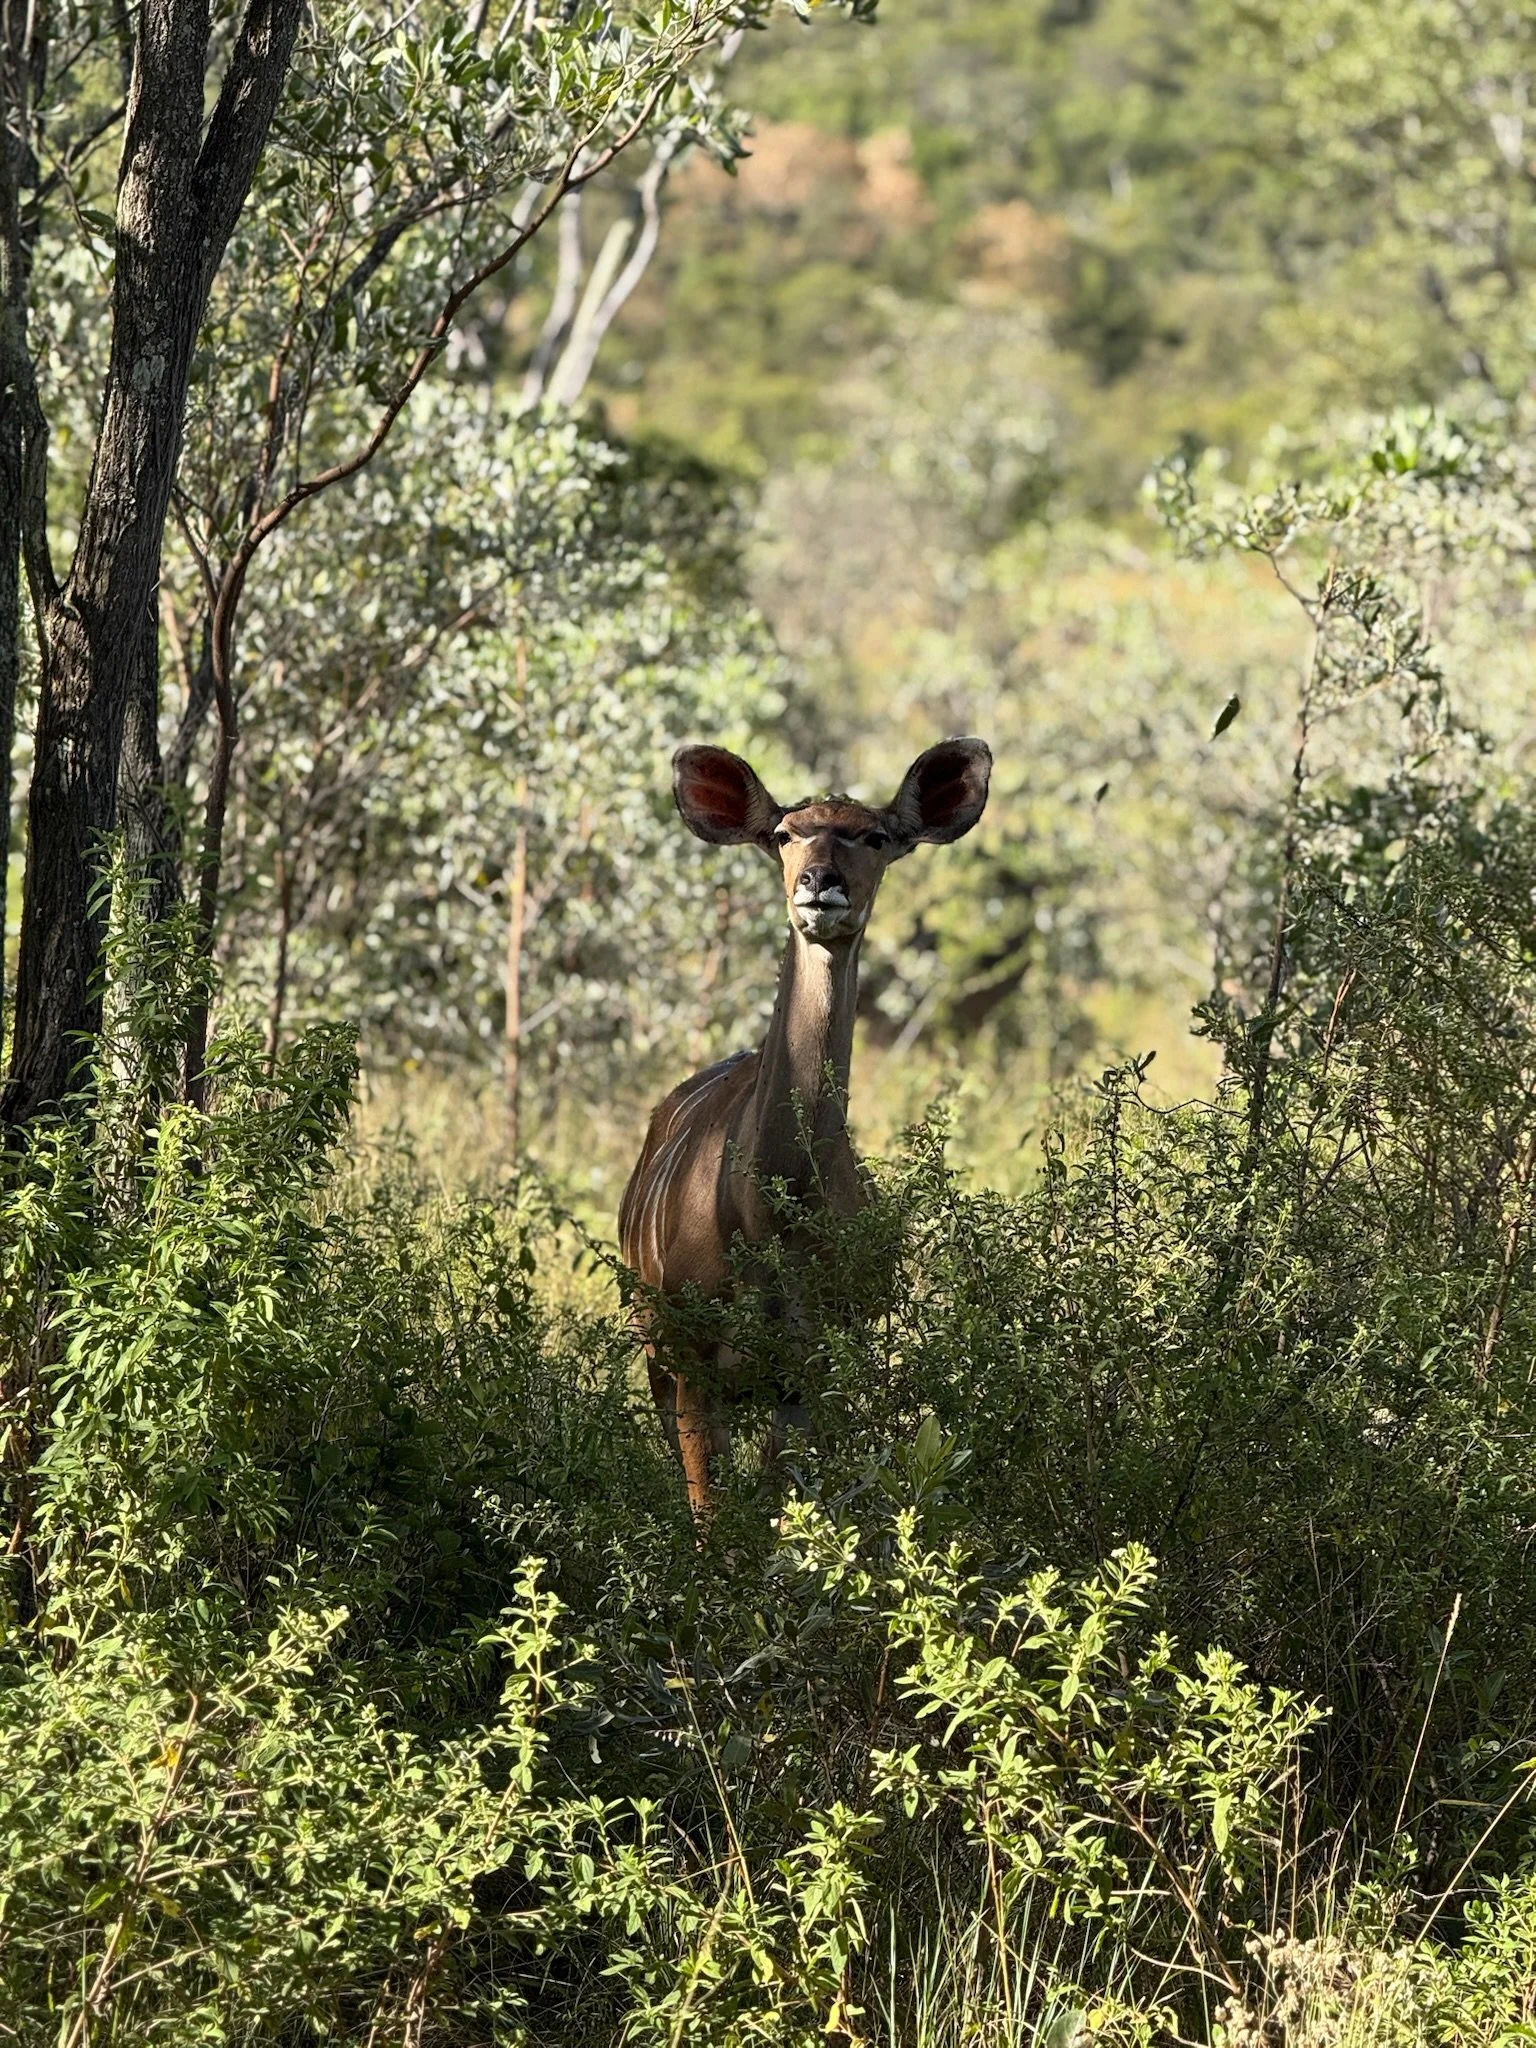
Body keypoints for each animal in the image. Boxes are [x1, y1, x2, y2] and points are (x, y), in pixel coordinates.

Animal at [619, 736, 992, 1519]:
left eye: (874, 837)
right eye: (785, 835)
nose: (821, 883)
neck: (770, 1215)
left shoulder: (809, 1371)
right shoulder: (692, 1356)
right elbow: (712, 1514)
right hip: (655, 1349)